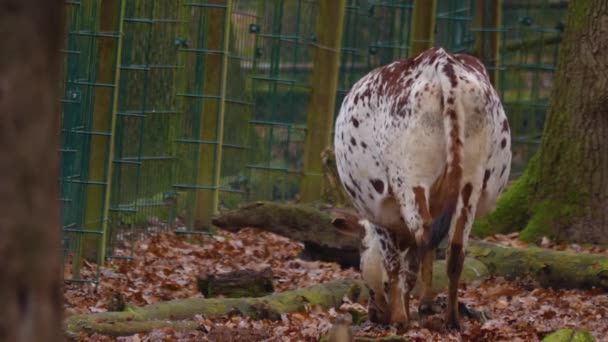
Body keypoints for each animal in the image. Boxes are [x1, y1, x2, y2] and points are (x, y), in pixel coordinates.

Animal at [334, 47, 510, 328]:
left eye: (368, 284)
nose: (375, 314)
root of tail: (441, 63)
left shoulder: (379, 213)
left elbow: (394, 263)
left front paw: (401, 312)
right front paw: (424, 303)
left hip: (409, 180)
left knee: (423, 236)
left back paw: (404, 317)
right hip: (470, 181)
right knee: (455, 249)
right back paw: (451, 319)